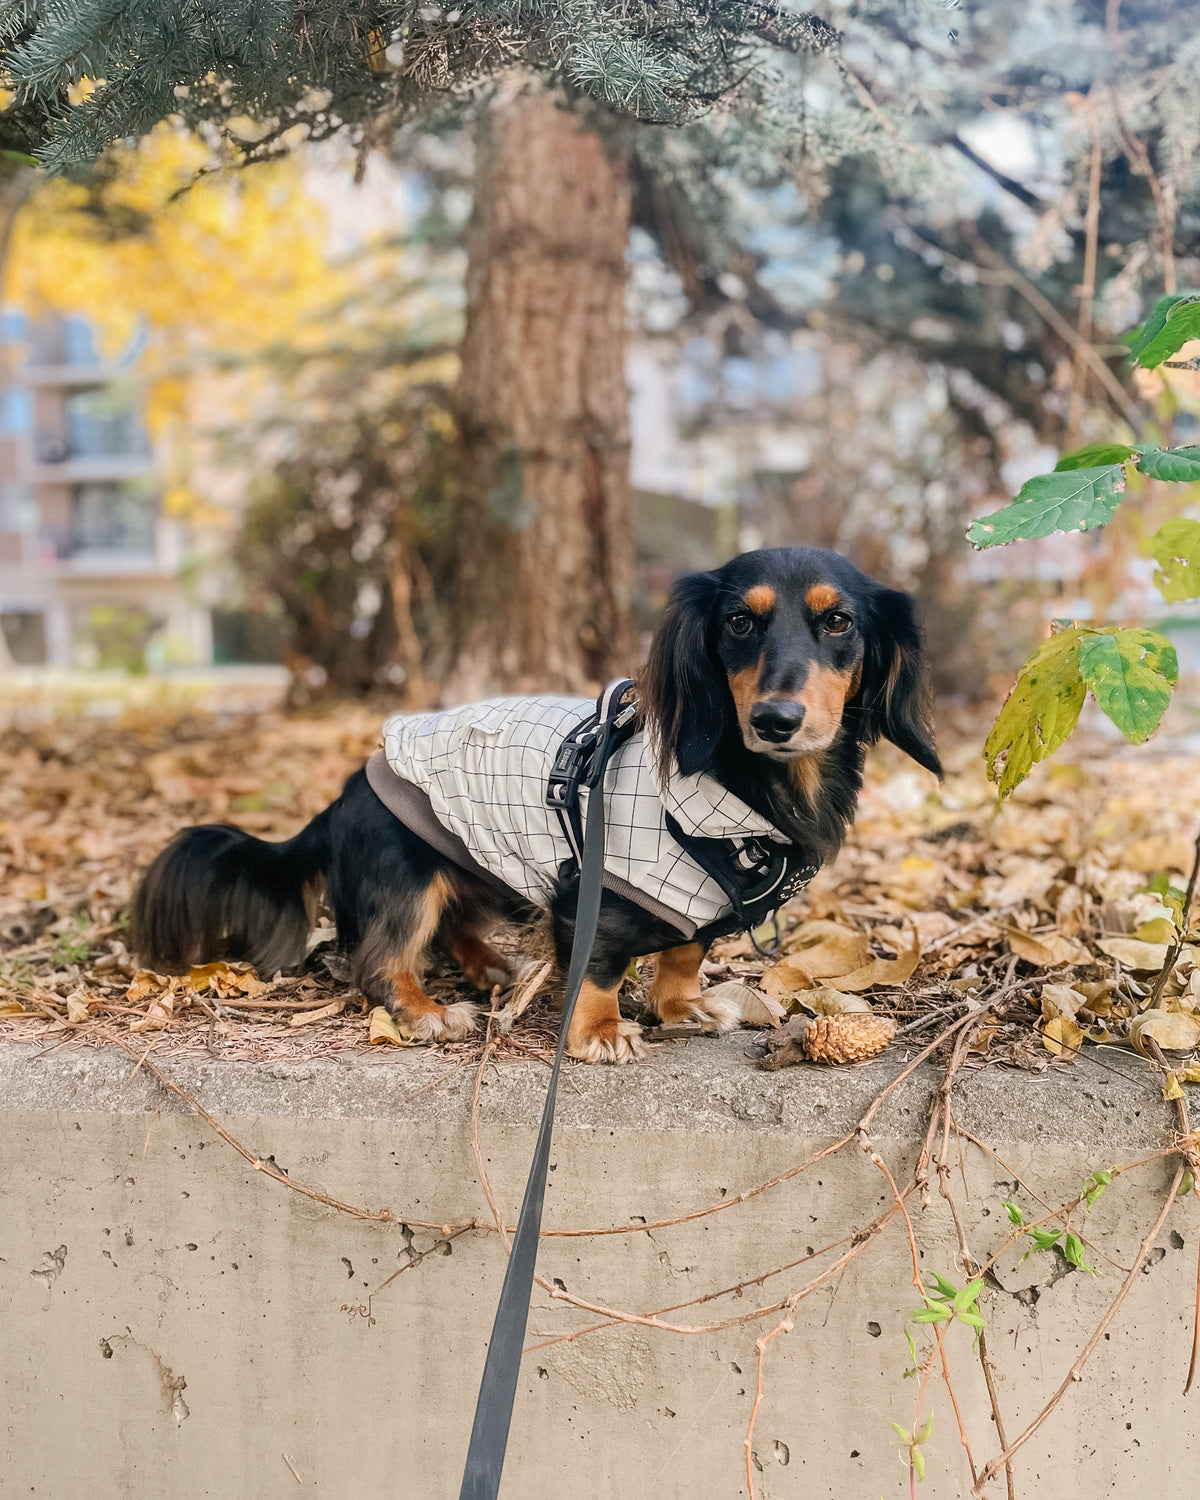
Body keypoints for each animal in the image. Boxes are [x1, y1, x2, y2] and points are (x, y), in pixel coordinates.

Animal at [131, 549, 936, 1056]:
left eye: (839, 623)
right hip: (405, 878)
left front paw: (682, 1006)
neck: (749, 786)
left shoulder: (695, 901)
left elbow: (684, 952)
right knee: (380, 958)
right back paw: (423, 1012)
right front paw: (598, 1033)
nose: (775, 719)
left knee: (455, 923)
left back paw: (490, 967)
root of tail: (344, 794)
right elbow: (600, 970)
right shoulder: (598, 892)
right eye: (739, 621)